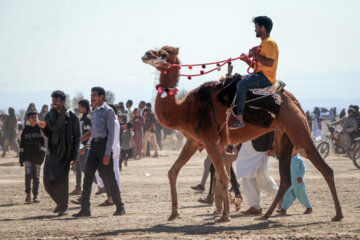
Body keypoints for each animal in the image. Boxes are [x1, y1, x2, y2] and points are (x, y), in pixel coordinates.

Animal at [141, 46, 344, 222]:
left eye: (164, 53)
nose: (146, 54)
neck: (184, 110)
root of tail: (293, 100)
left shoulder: (210, 140)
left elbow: (222, 175)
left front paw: (225, 215)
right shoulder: (193, 141)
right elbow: (172, 171)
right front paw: (174, 214)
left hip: (298, 128)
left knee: (324, 168)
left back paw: (337, 214)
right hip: (283, 137)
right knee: (286, 178)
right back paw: (266, 215)